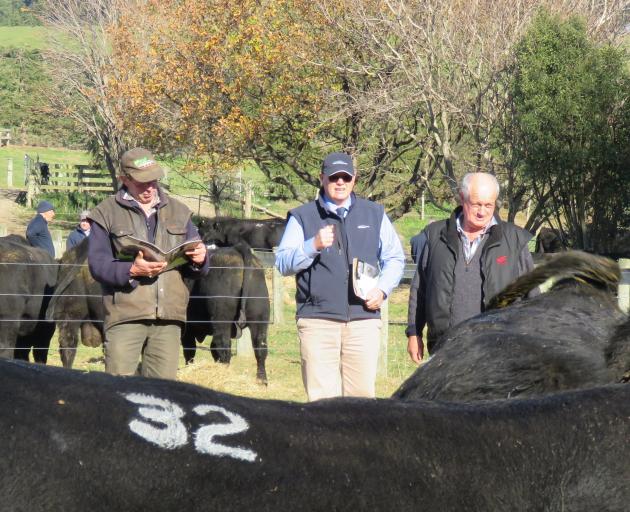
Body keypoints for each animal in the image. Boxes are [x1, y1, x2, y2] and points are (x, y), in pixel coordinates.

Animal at [183, 244, 272, 384]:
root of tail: (237, 249)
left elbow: (189, 351)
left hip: (221, 320)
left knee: (223, 347)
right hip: (260, 319)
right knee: (260, 348)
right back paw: (261, 381)